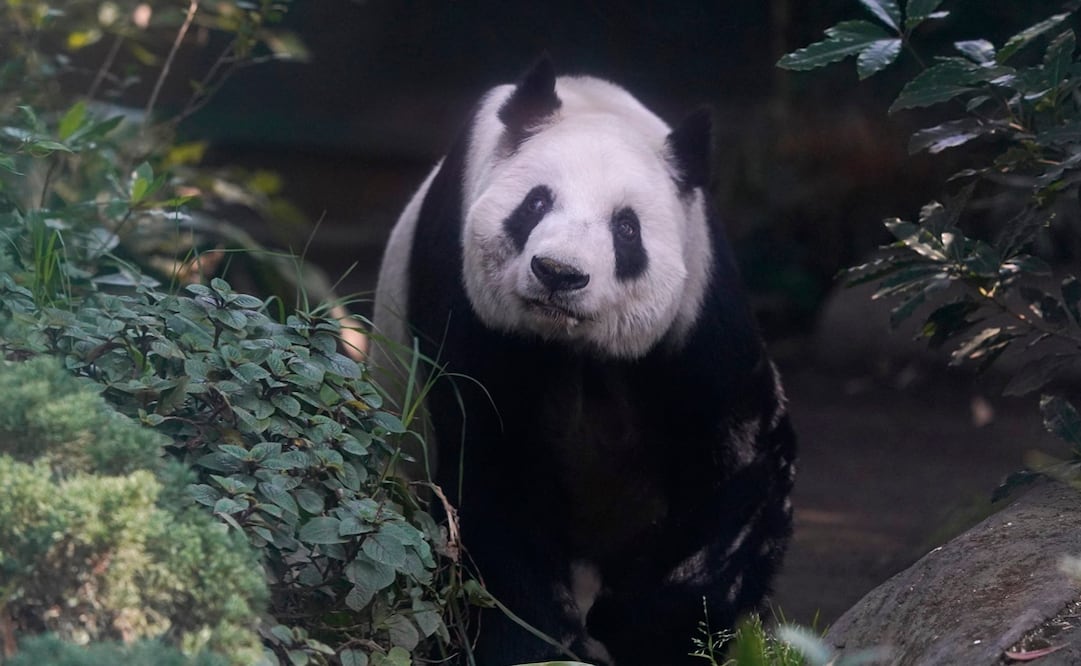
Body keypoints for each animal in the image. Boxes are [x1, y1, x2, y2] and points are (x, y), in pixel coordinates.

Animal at [370, 58, 796, 665]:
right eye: (536, 203)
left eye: (626, 227)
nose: (559, 273)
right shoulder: (464, 295)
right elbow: (492, 464)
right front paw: (544, 644)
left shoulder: (699, 306)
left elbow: (741, 458)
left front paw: (649, 630)